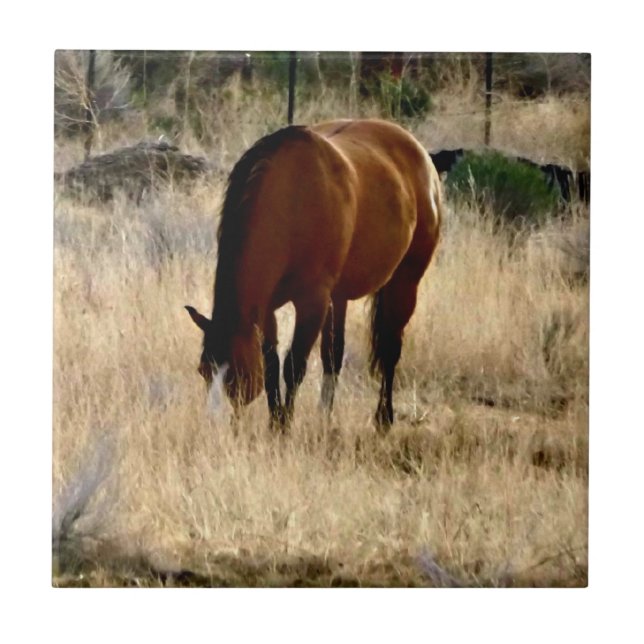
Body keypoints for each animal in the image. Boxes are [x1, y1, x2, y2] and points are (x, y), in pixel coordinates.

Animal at [186, 118, 442, 431]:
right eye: (203, 370)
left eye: (236, 373)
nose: (215, 426)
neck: (293, 200)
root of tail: (421, 155)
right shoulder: (268, 308)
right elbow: (271, 364)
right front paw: (276, 421)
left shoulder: (312, 302)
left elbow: (293, 366)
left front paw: (283, 427)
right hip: (339, 297)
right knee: (334, 355)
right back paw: (325, 416)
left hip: (405, 281)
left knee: (390, 349)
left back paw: (383, 418)